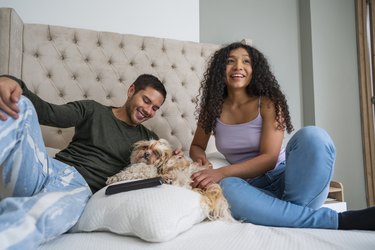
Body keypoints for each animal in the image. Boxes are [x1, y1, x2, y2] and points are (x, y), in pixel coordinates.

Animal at [106, 138, 235, 222]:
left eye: (156, 153)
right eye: (146, 147)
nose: (146, 154)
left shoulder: (145, 172)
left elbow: (130, 174)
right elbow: (124, 173)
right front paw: (112, 178)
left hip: (180, 174)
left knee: (182, 185)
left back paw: (167, 180)